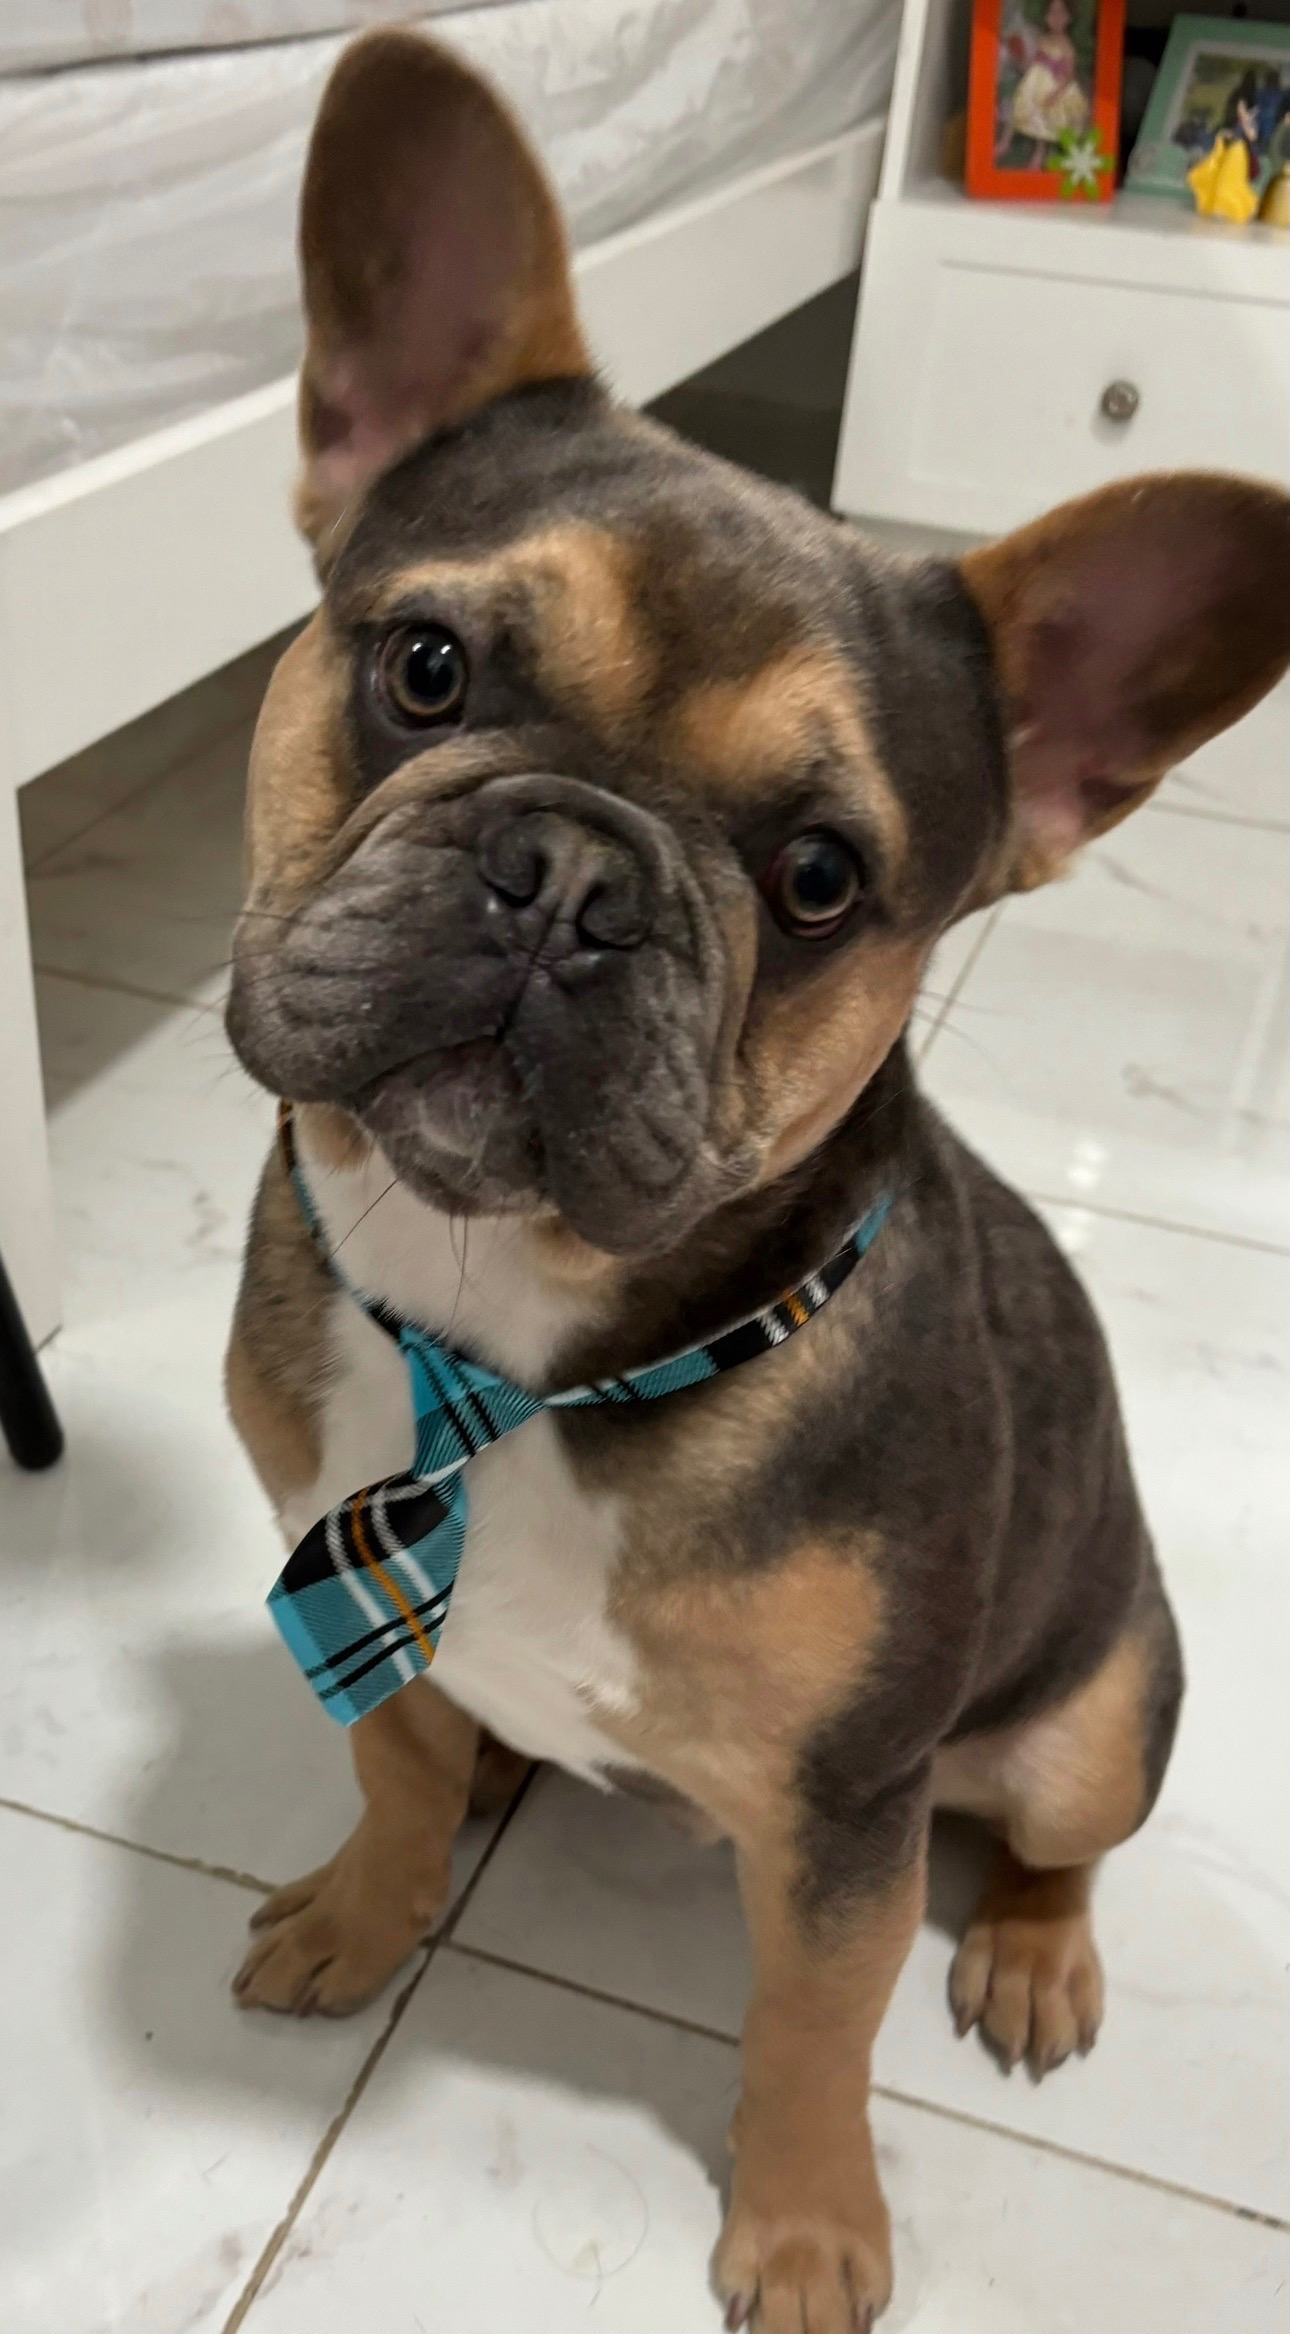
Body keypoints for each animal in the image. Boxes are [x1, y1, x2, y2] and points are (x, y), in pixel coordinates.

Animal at [223, 30, 1290, 2329]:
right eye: (423, 666)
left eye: (819, 879)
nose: (569, 874)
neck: (512, 1344)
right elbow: (386, 1758)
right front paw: (366, 1904)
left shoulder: (848, 1810)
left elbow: (813, 2019)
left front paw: (806, 2226)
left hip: (1092, 1704)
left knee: (1059, 1836)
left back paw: (1034, 1956)